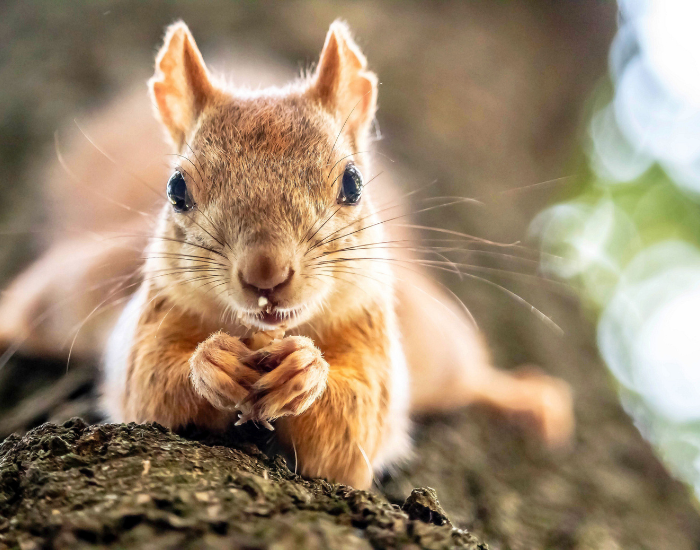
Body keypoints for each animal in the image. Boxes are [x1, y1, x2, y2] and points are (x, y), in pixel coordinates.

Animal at [0, 20, 573, 489]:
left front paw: (306, 371)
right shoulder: (152, 318)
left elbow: (353, 427)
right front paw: (212, 363)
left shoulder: (372, 335)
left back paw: (523, 398)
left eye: (353, 183)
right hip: (73, 291)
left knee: (467, 374)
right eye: (176, 189)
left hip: (436, 338)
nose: (265, 272)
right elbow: (150, 386)